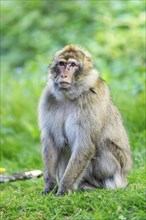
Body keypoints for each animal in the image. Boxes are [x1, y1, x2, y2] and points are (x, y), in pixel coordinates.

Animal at [38, 44, 132, 196]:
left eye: (72, 65)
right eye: (61, 64)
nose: (63, 75)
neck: (69, 96)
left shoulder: (90, 100)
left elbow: (85, 145)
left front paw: (63, 189)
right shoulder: (48, 97)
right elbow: (51, 141)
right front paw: (49, 186)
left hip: (115, 171)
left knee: (103, 145)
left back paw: (93, 187)